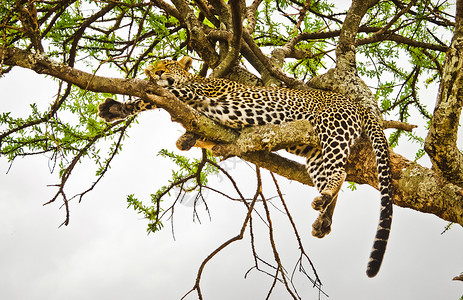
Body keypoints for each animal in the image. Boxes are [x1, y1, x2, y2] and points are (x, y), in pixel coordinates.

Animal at [97, 55, 392, 276]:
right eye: (153, 67)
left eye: (167, 64)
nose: (155, 72)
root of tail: (353, 102)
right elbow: (197, 133)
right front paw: (186, 139)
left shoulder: (189, 91)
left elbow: (147, 97)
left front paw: (115, 108)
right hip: (315, 151)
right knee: (333, 174)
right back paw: (323, 215)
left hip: (332, 129)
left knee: (339, 171)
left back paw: (327, 198)